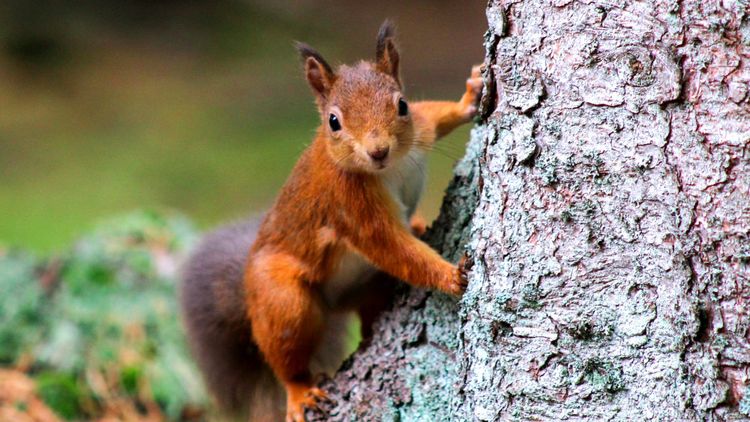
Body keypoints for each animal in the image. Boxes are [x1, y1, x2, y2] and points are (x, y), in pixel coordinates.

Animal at [180, 20, 482, 422]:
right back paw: (299, 392)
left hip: (369, 287)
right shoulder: (351, 207)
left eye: (401, 105)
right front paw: (451, 275)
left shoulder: (420, 128)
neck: (390, 168)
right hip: (283, 301)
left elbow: (434, 113)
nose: (378, 151)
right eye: (333, 122)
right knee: (286, 355)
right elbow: (393, 248)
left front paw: (470, 97)